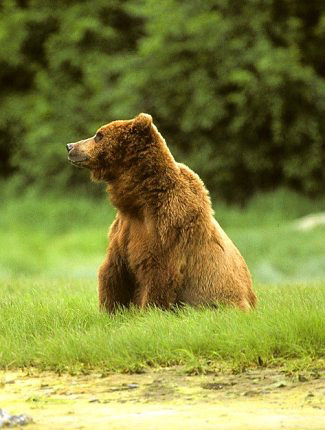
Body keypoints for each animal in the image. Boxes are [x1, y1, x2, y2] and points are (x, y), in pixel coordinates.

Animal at [67, 112, 256, 310]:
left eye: (99, 135)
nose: (70, 146)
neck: (140, 201)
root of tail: (252, 300)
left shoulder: (167, 227)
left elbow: (158, 274)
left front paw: (148, 309)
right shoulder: (124, 228)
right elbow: (114, 270)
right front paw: (110, 309)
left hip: (223, 296)